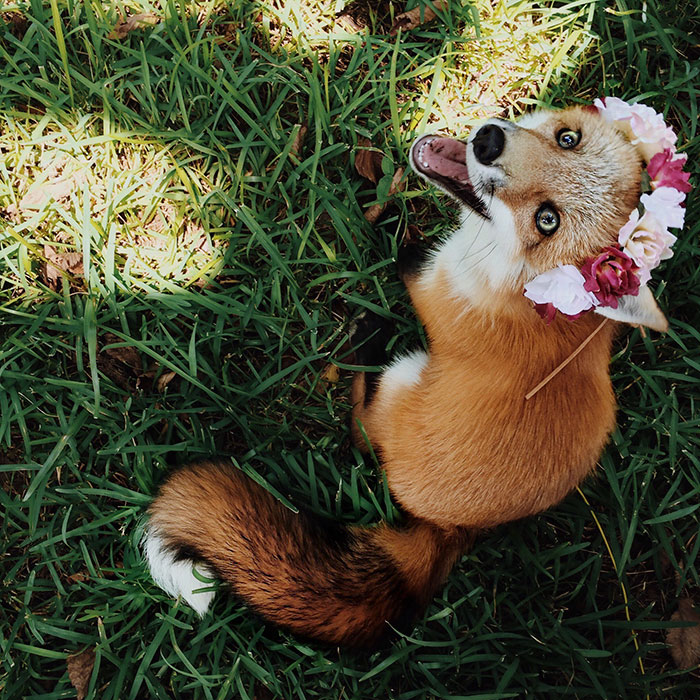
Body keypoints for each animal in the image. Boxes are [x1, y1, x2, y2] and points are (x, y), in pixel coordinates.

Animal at [144, 102, 679, 648]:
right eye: (567, 138)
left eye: (546, 220)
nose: (487, 142)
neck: (514, 283)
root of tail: (453, 527)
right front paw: (388, 207)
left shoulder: (431, 283)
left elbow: (404, 255)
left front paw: (376, 222)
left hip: (403, 375)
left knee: (361, 432)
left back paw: (366, 341)